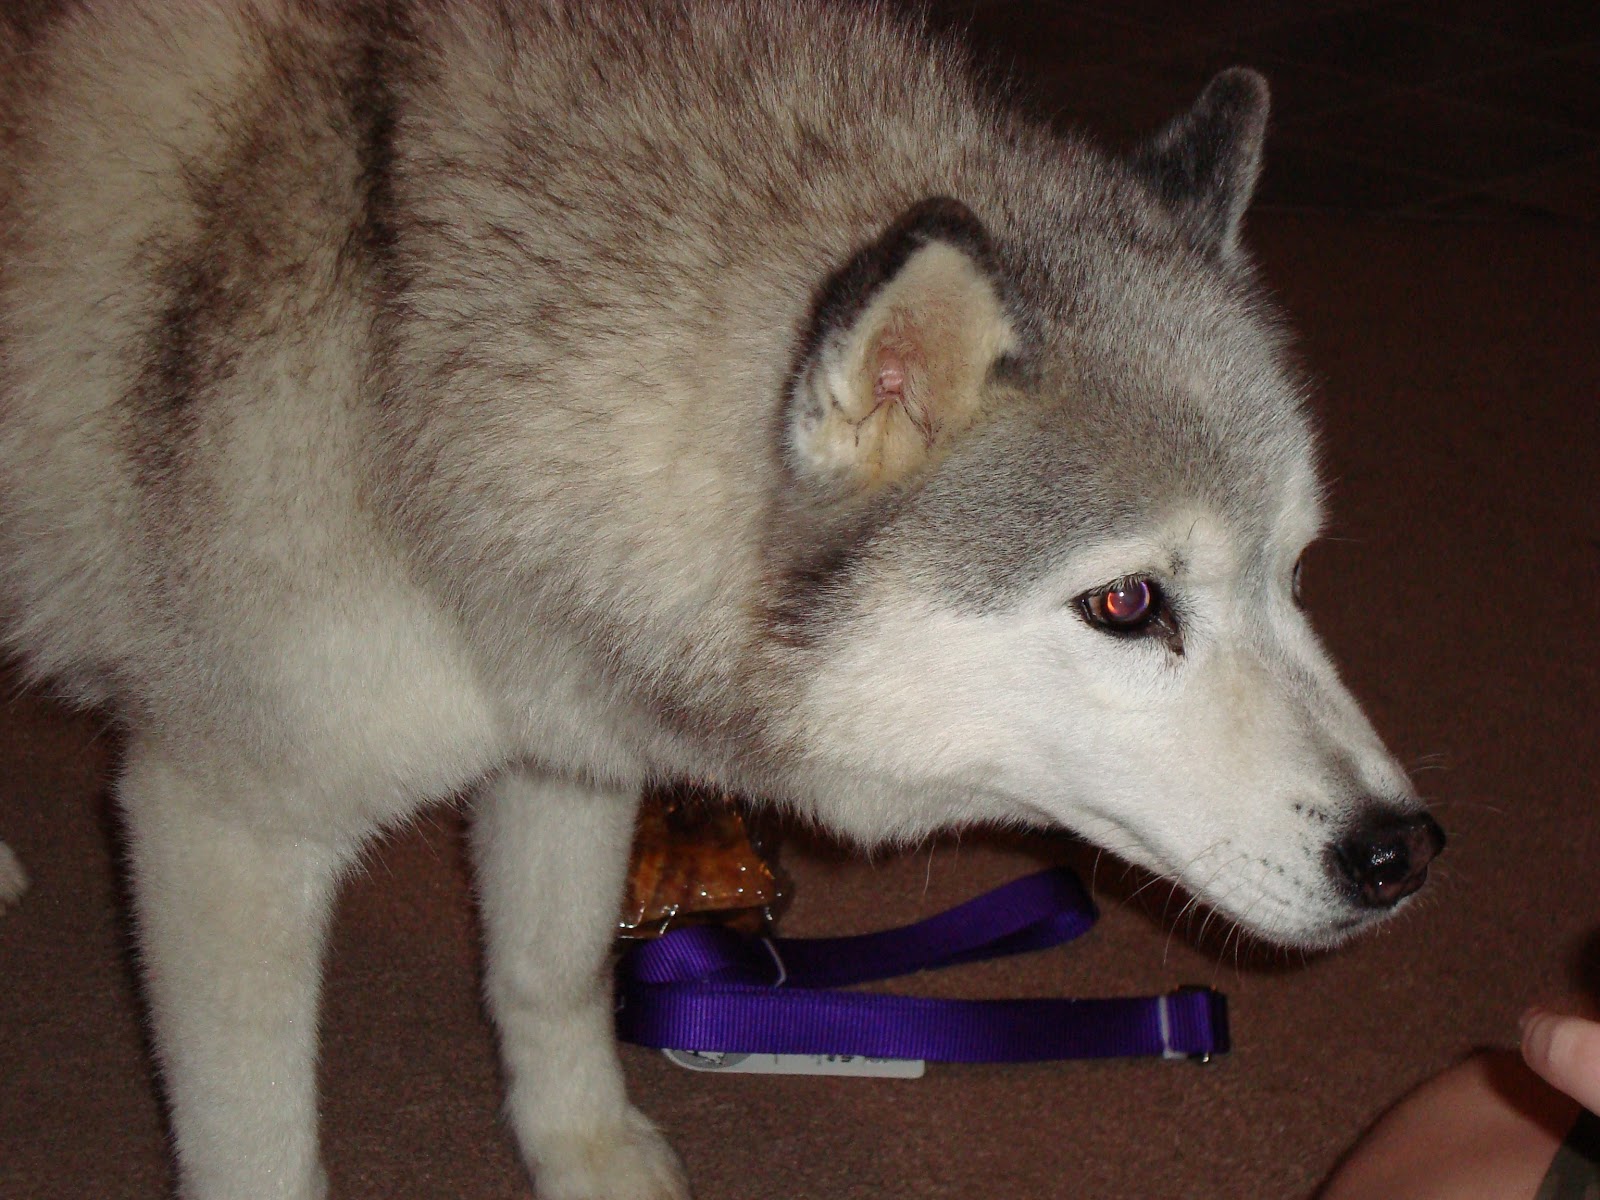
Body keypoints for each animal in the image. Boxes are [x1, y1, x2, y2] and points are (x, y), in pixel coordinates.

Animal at [0, 2, 1446, 1200]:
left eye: (1295, 573)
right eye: (1130, 602)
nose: (1402, 852)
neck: (409, 357)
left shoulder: (564, 745)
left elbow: (551, 976)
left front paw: (583, 1155)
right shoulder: (219, 826)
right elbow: (259, 1148)